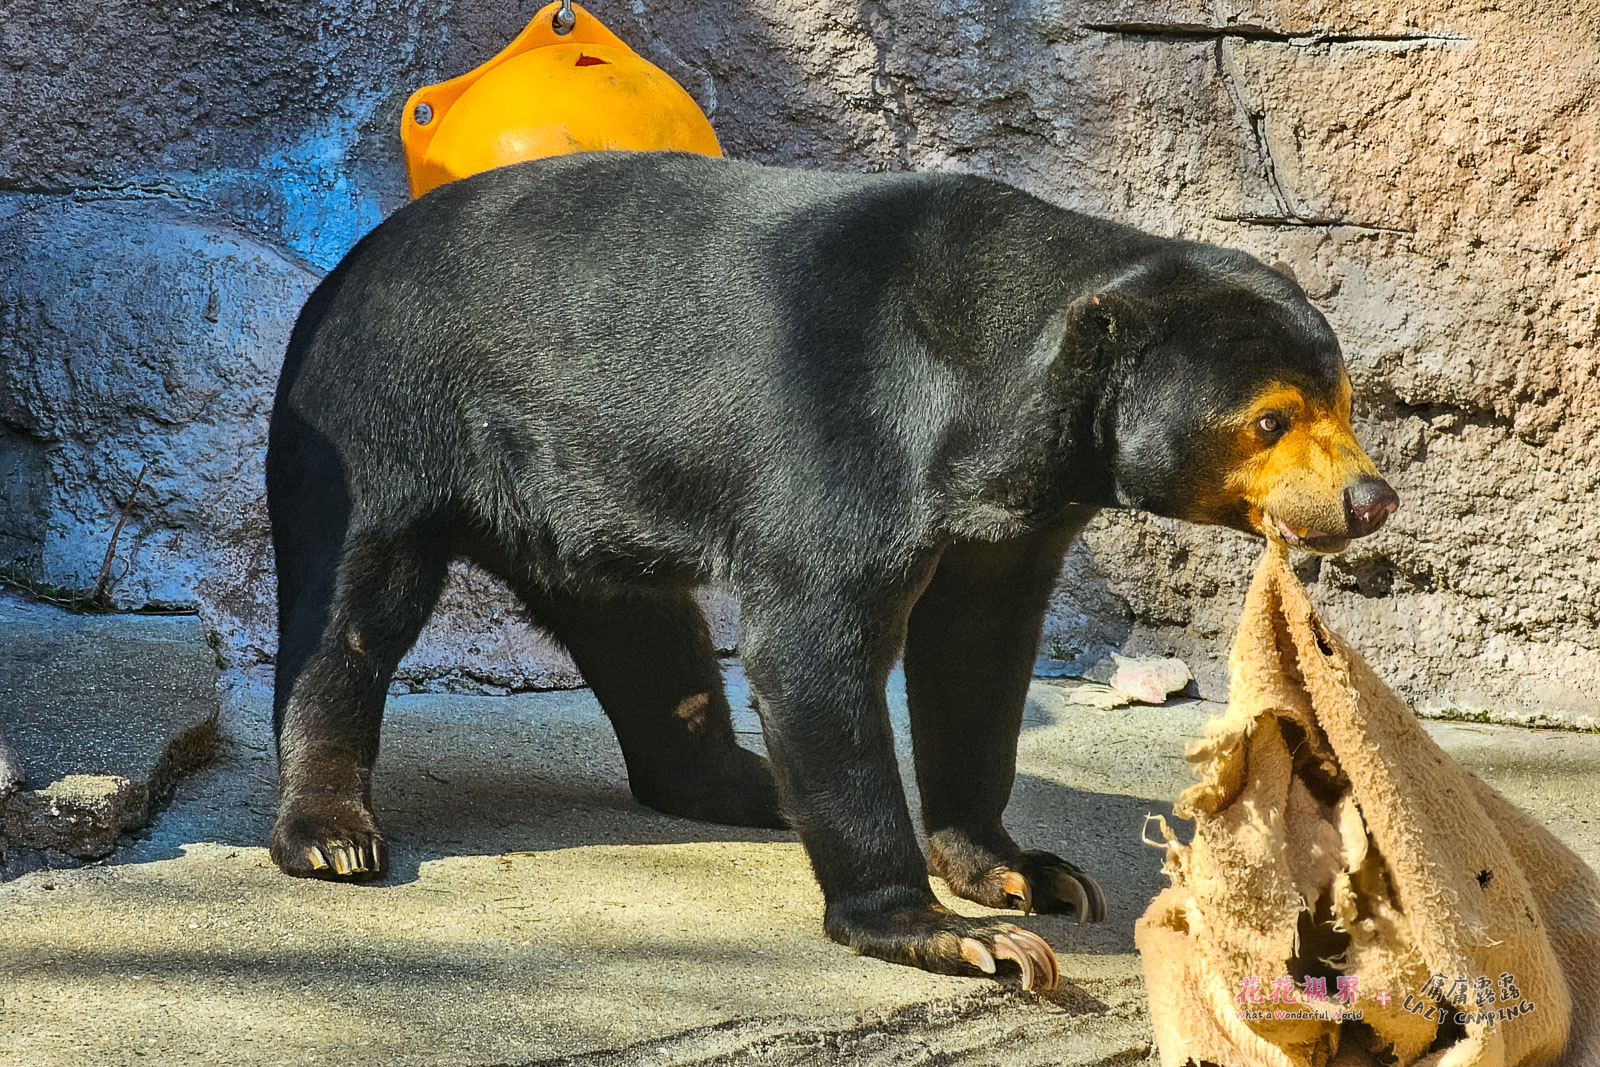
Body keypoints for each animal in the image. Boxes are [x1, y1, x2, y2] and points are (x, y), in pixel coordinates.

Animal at [265, 150, 1397, 989]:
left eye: (1343, 403)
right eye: (1269, 418)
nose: (1369, 500)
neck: (993, 400)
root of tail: (348, 263)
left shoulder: (1015, 515)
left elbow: (980, 658)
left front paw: (1026, 872)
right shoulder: (846, 431)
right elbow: (815, 642)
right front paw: (962, 935)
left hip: (582, 489)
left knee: (644, 633)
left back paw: (753, 783)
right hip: (387, 417)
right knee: (352, 606)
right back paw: (330, 832)